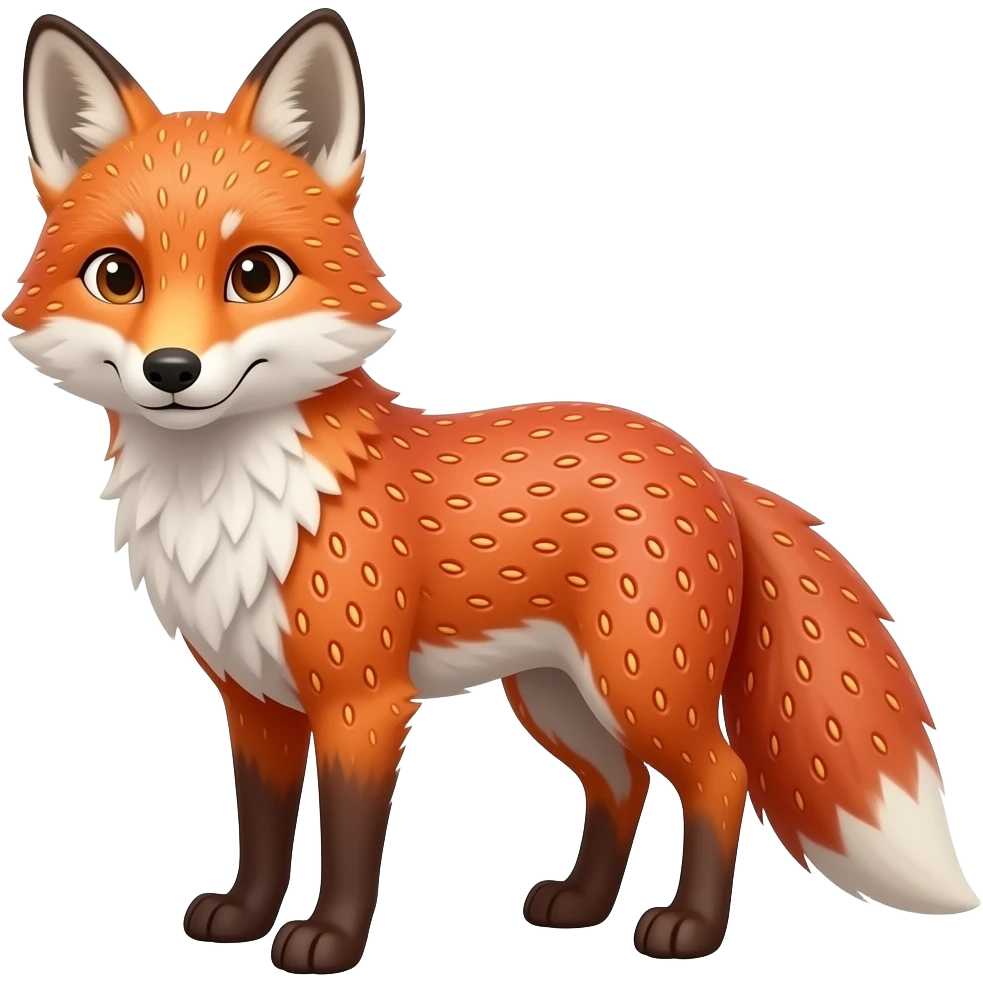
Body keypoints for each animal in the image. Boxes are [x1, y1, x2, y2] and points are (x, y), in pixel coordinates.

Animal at [5, 7, 978, 976]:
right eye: (116, 275)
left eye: (254, 274)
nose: (171, 370)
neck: (233, 503)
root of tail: (704, 462)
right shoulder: (255, 702)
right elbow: (263, 827)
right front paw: (244, 916)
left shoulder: (362, 700)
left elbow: (348, 841)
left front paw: (330, 939)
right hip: (555, 695)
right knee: (621, 783)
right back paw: (580, 905)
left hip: (640, 683)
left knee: (718, 774)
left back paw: (687, 928)